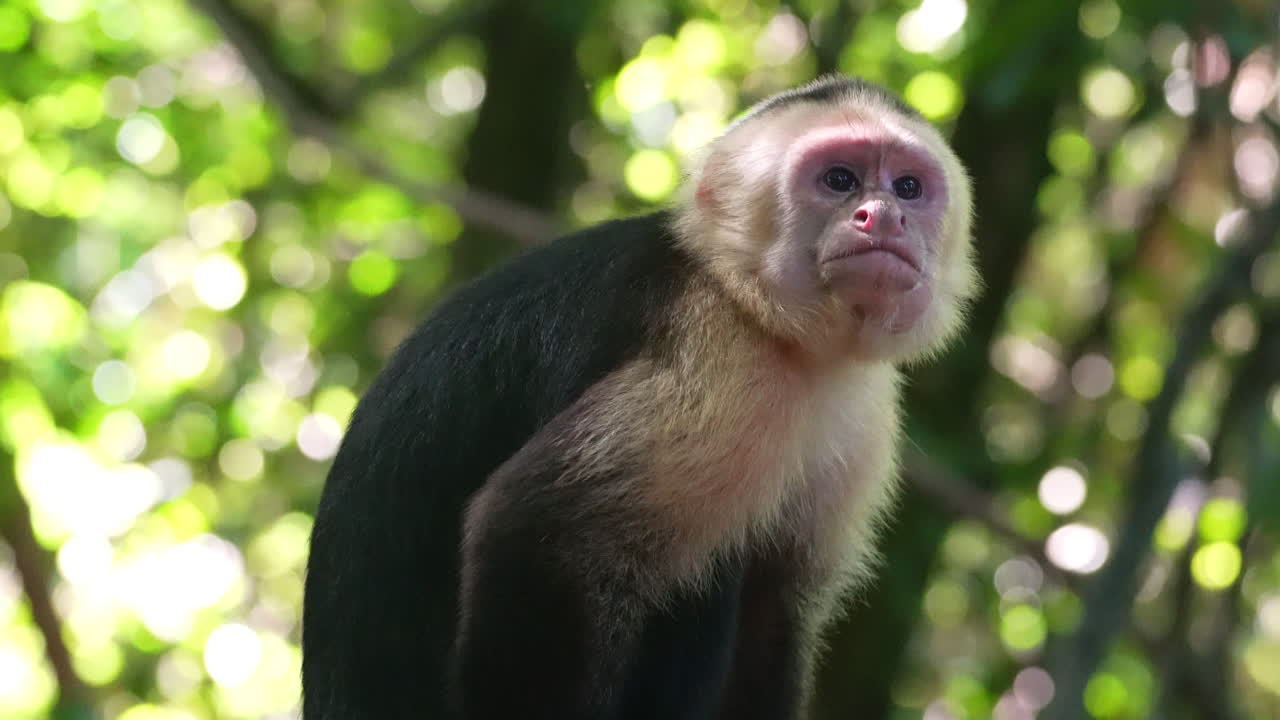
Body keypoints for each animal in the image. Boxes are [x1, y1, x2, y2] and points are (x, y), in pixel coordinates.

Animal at [301, 75, 976, 720]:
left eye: (908, 187)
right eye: (839, 180)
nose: (881, 216)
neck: (771, 321)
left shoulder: (863, 413)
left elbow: (774, 603)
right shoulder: (720, 360)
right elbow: (534, 531)